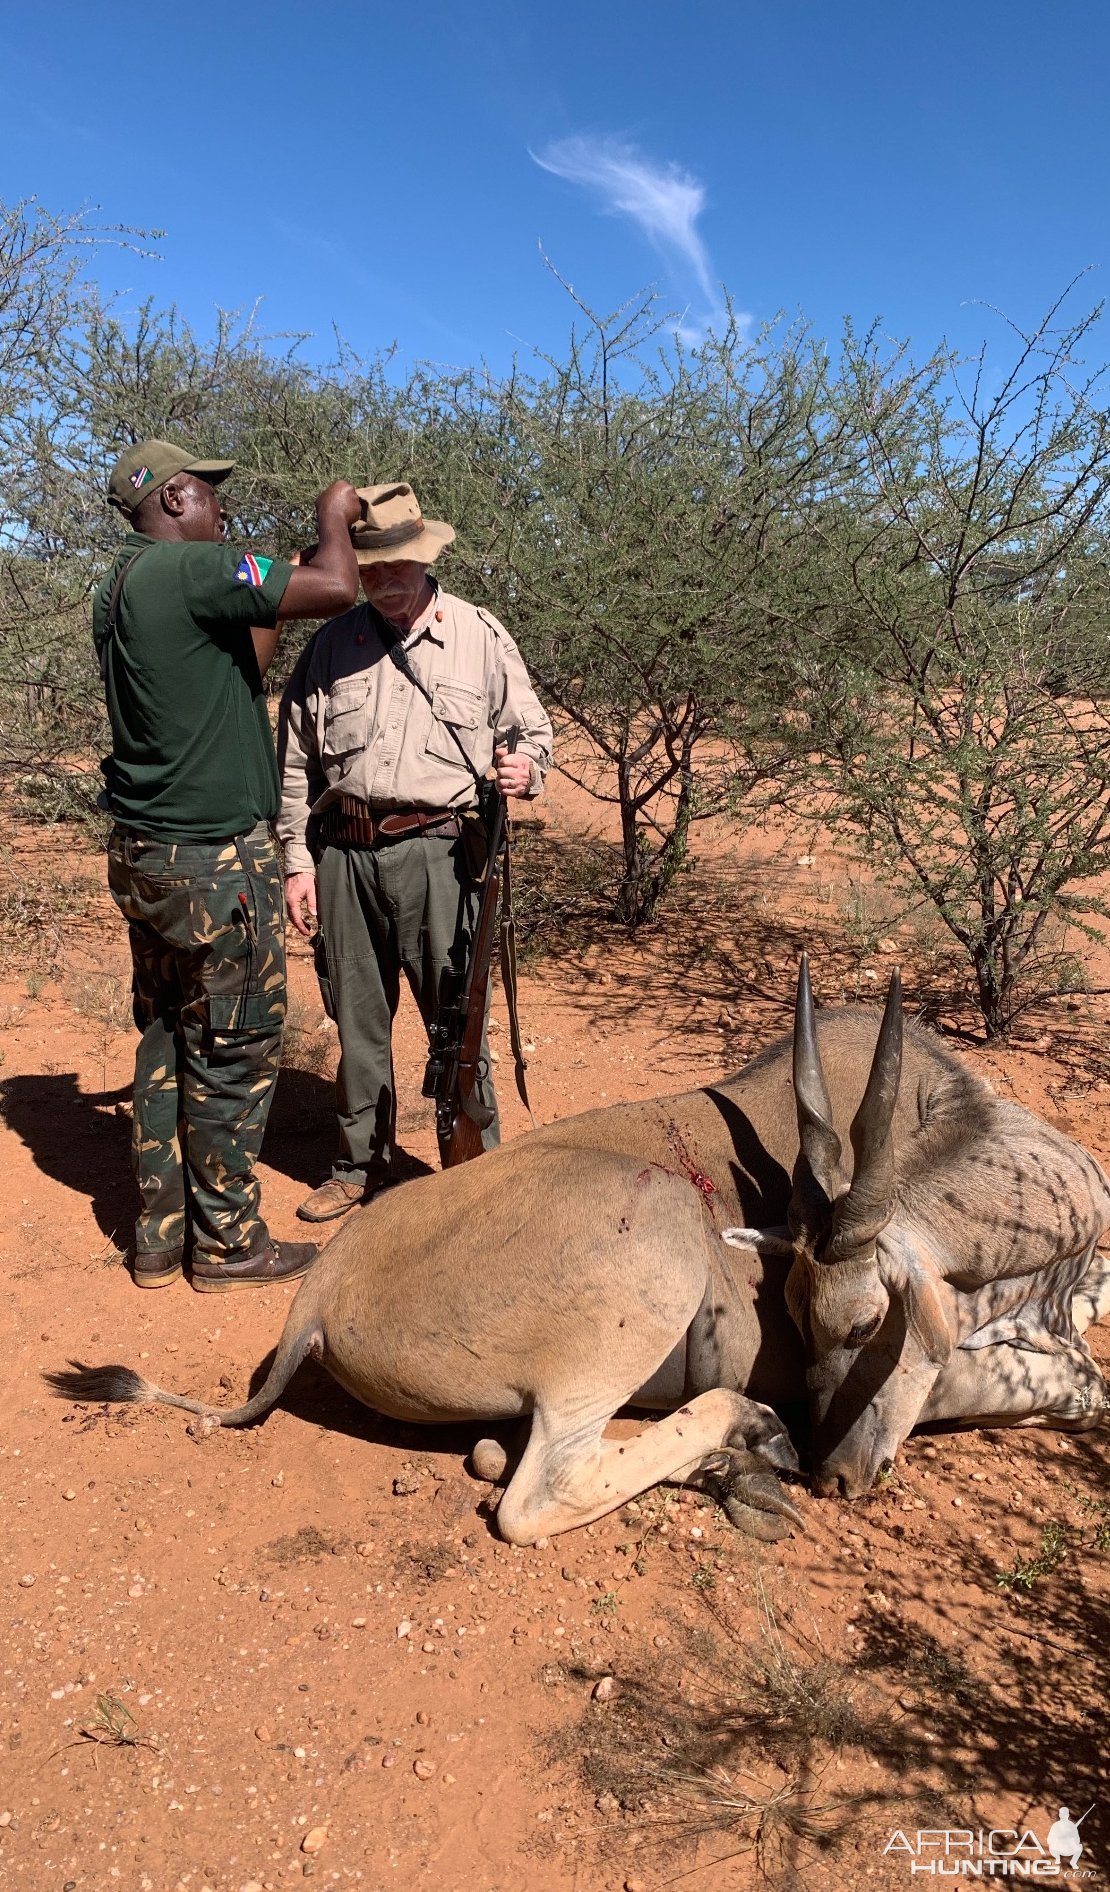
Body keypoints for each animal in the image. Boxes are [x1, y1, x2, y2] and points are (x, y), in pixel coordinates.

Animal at [49, 953, 1110, 1543]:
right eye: (822, 1324)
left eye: (853, 1323)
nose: (838, 1471)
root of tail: (315, 1298)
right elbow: (1056, 1387)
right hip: (649, 1263)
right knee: (536, 1496)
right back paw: (749, 1437)